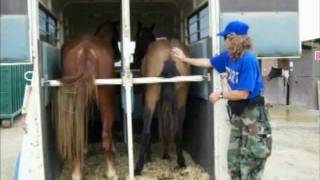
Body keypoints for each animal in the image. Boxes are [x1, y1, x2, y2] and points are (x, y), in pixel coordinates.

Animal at [52, 21, 120, 180]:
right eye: (116, 38)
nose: (118, 56)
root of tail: (86, 51)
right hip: (106, 103)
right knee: (106, 134)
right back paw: (111, 171)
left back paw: (77, 172)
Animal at [134, 22, 191, 174]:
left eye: (136, 38)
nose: (135, 58)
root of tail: (170, 54)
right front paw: (165, 153)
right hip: (181, 98)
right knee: (178, 130)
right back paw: (181, 162)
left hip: (151, 97)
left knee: (146, 131)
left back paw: (138, 167)